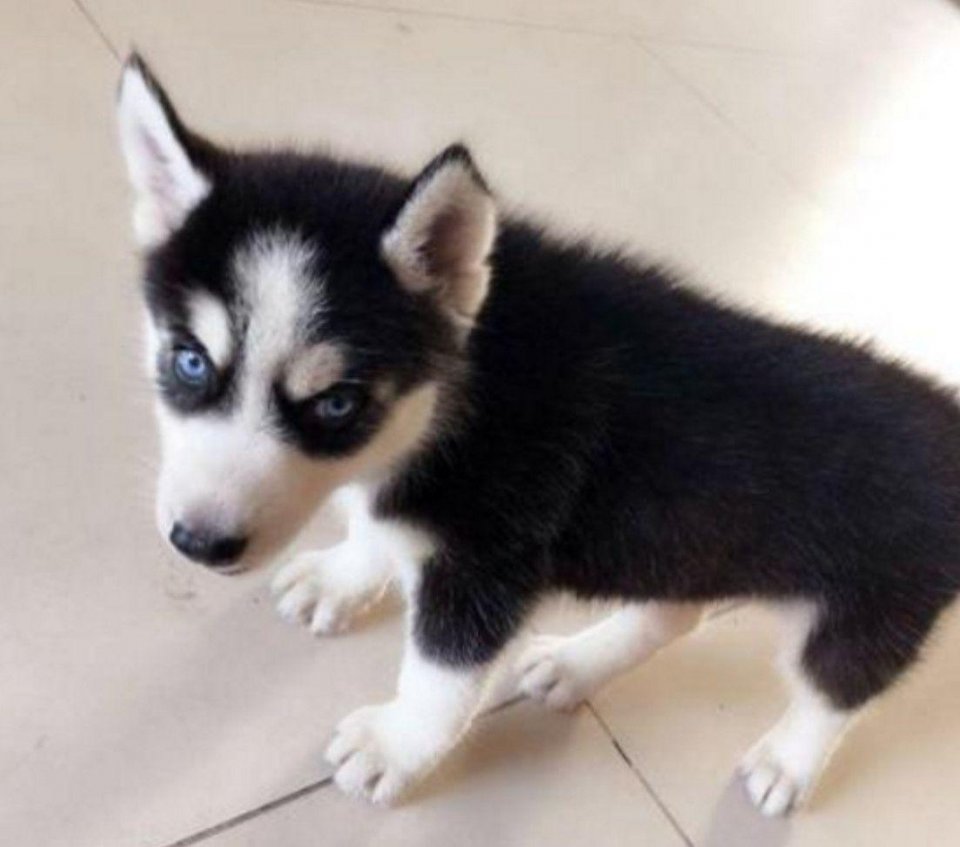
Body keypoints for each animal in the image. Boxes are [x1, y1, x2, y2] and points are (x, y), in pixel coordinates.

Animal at [116, 53, 960, 815]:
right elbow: (376, 527)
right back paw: (581, 665)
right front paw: (345, 574)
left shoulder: (489, 569)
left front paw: (394, 745)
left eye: (335, 404)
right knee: (675, 609)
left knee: (835, 689)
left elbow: (441, 677)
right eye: (189, 359)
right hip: (691, 545)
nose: (199, 543)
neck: (459, 383)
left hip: (868, 606)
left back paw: (788, 760)